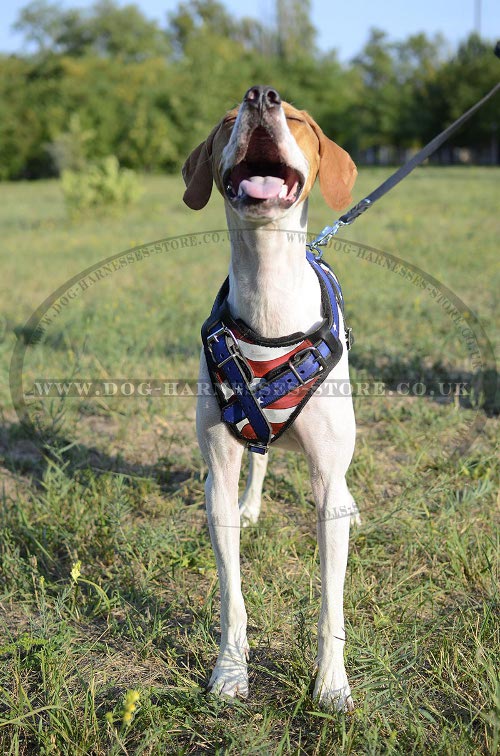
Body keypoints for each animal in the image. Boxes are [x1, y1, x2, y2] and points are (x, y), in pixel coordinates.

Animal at [184, 85, 360, 712]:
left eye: (301, 119)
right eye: (228, 120)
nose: (261, 96)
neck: (268, 297)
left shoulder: (328, 483)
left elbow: (331, 606)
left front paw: (331, 686)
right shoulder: (217, 467)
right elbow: (231, 595)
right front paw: (230, 673)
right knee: (258, 461)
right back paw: (252, 505)